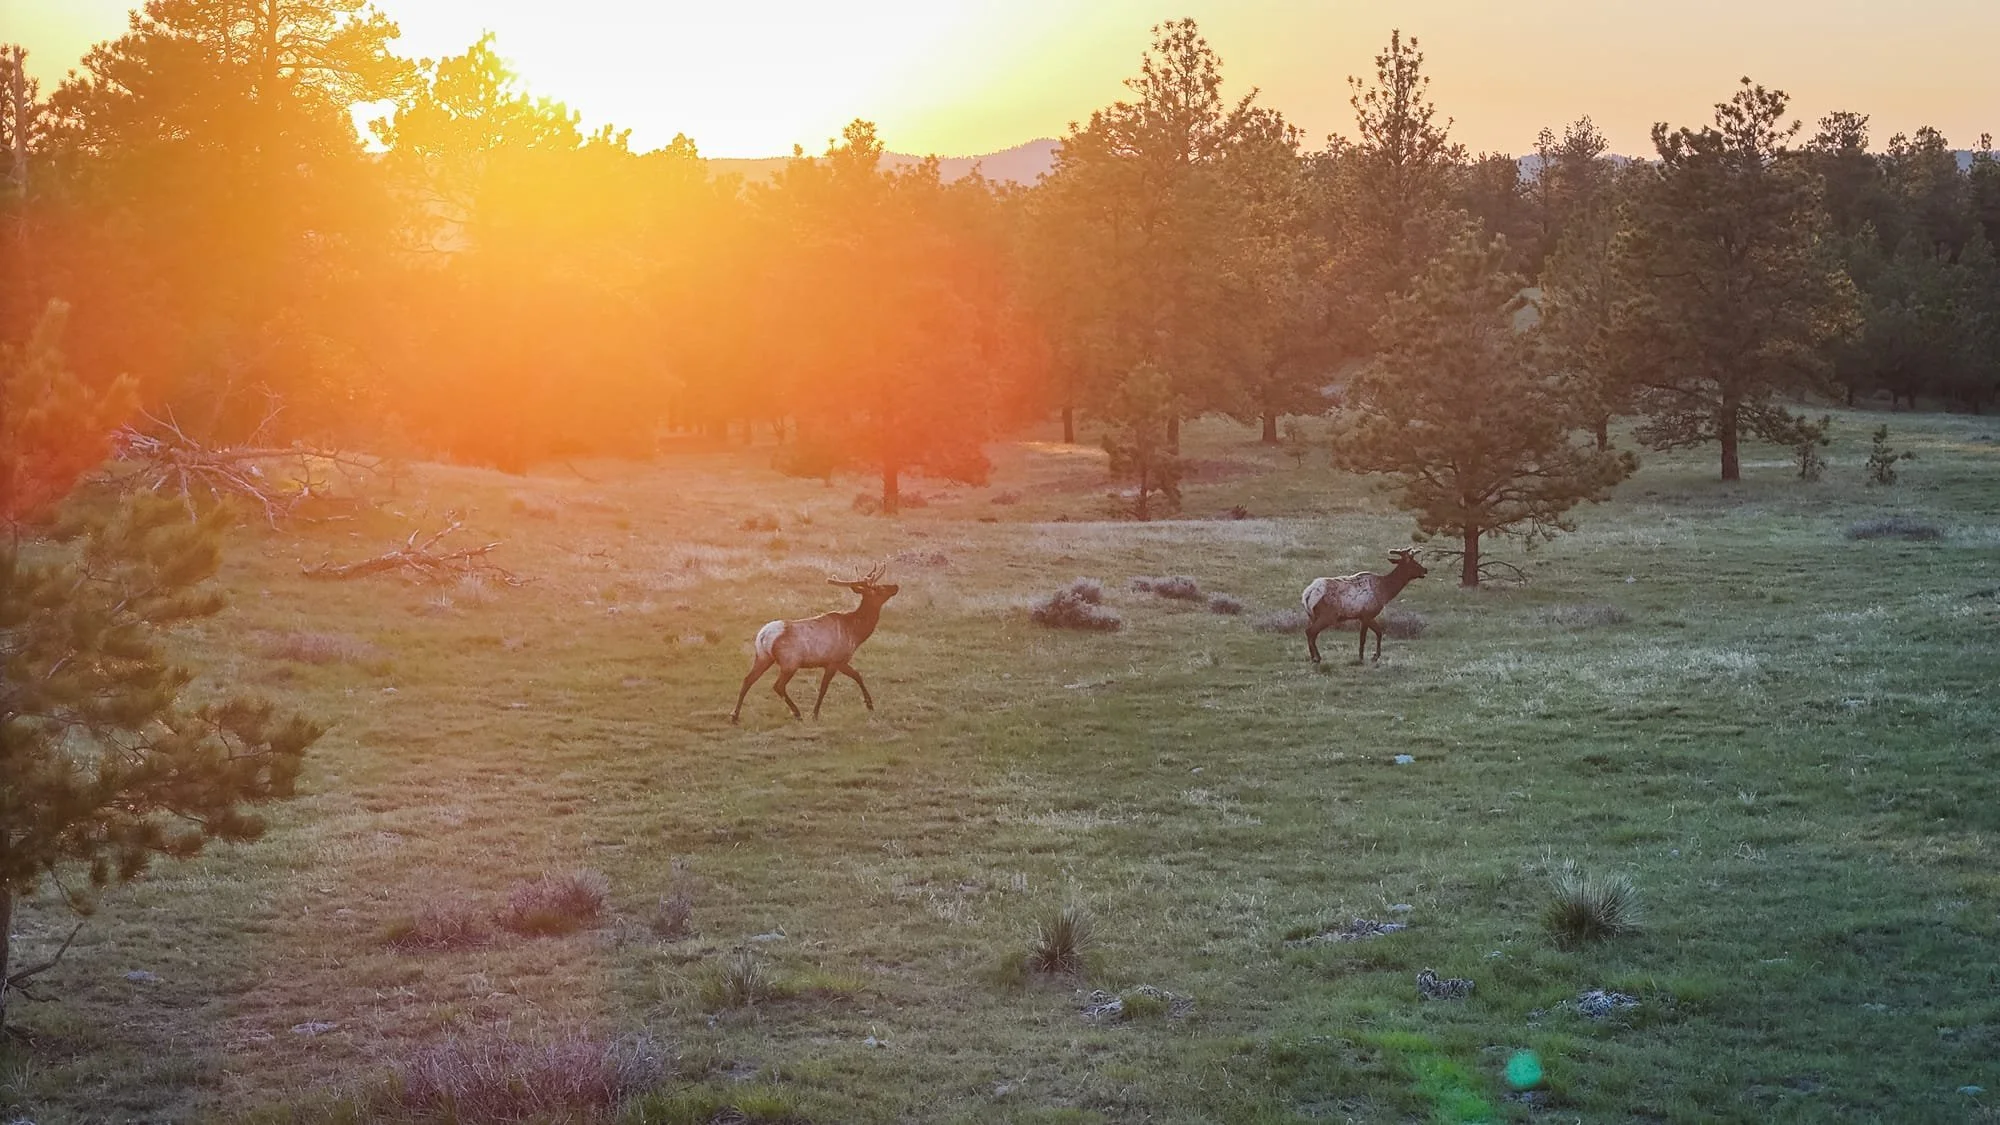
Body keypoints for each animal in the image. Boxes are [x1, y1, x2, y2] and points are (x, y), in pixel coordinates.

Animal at [730, 563, 900, 723]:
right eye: (879, 588)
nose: (895, 586)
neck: (856, 633)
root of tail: (763, 636)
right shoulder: (835, 660)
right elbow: (825, 687)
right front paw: (815, 714)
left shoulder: (839, 661)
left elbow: (857, 675)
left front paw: (869, 705)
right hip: (790, 662)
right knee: (778, 686)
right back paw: (797, 713)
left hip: (763, 657)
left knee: (748, 680)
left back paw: (735, 716)